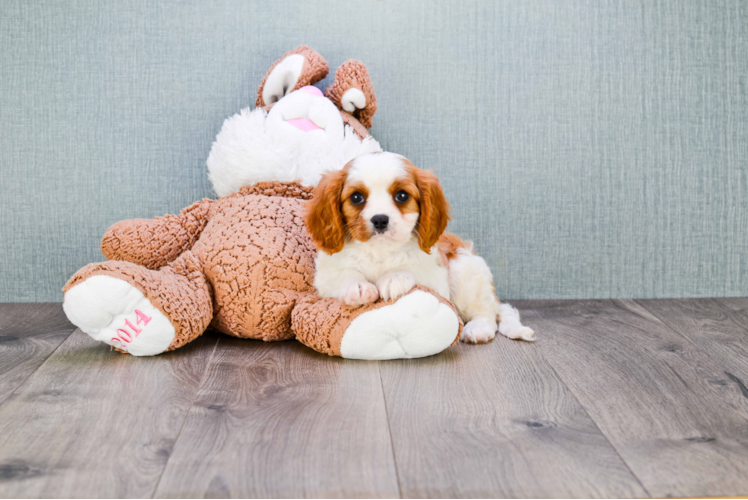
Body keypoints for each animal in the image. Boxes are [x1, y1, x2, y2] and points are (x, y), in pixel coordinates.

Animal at [306, 150, 536, 342]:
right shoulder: (325, 277)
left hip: (465, 270)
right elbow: (345, 273)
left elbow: (412, 269)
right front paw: (358, 286)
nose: (380, 220)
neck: (380, 250)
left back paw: (478, 329)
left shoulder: (437, 279)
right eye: (356, 197)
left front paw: (394, 277)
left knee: (487, 312)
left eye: (401, 196)